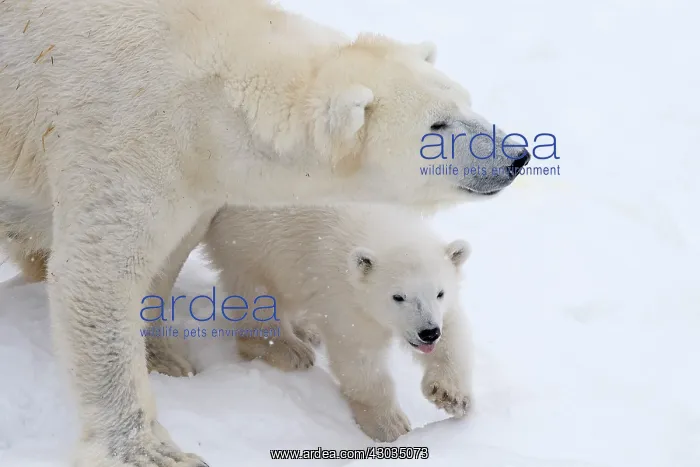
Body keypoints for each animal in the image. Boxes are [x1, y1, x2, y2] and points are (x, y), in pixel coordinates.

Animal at [163, 203, 473, 442]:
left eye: (439, 292)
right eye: (398, 296)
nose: (428, 333)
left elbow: (453, 331)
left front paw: (451, 395)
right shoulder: (343, 293)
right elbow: (359, 358)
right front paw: (391, 424)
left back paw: (306, 330)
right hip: (247, 242)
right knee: (257, 291)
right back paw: (290, 349)